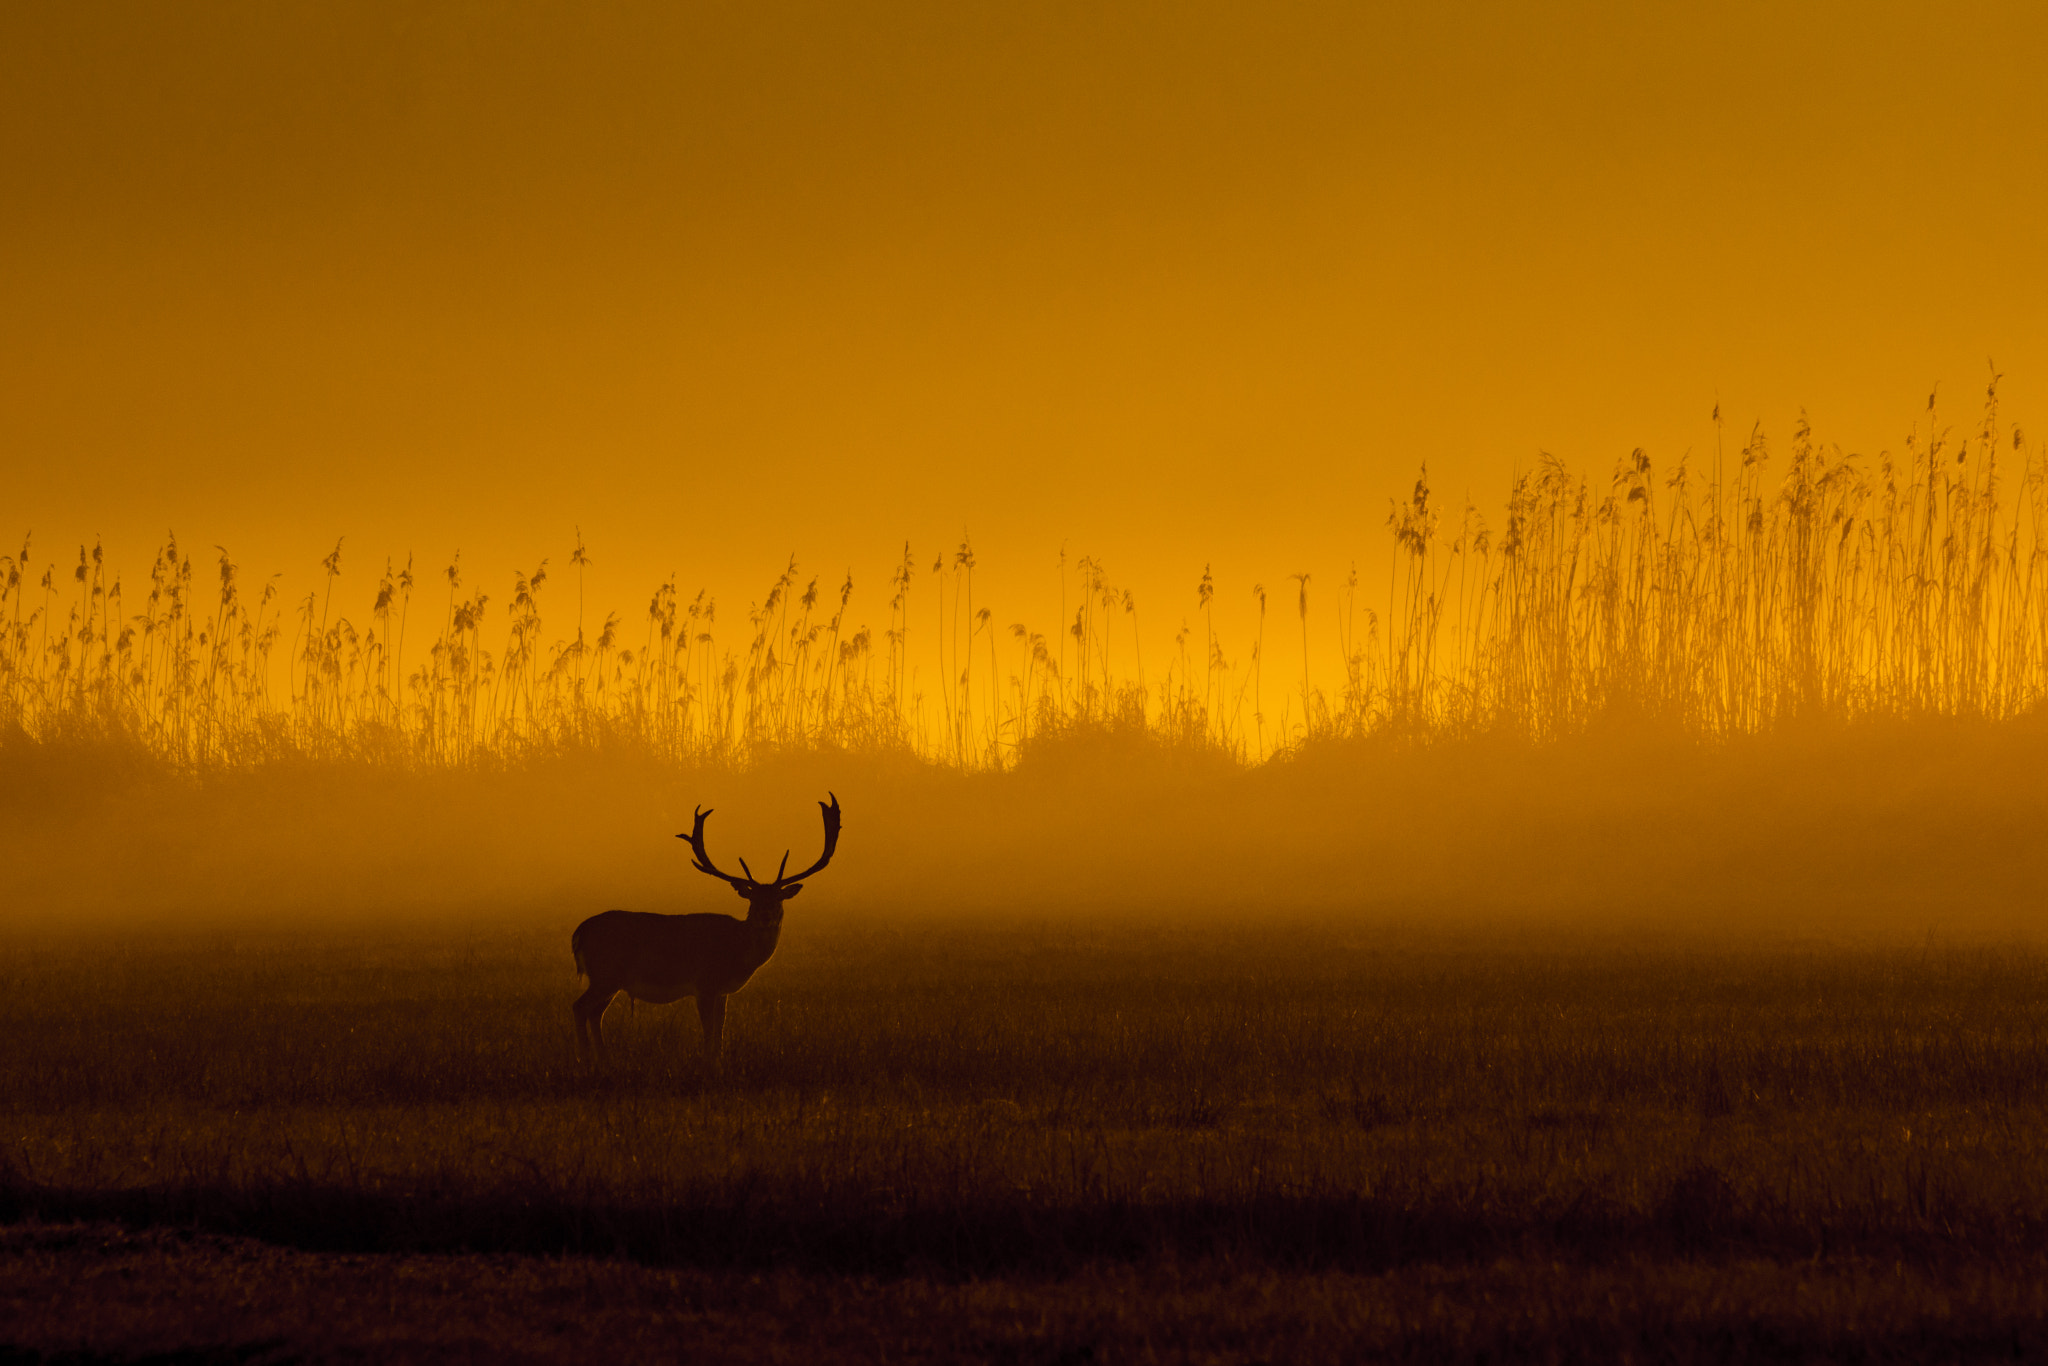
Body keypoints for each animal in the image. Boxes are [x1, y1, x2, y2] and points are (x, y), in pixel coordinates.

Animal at [569, 794, 839, 1073]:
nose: (766, 916)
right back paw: (585, 1060)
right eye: (752, 900)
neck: (737, 950)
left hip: (608, 980)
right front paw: (708, 1066)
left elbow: (719, 1031)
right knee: (579, 1007)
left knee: (594, 1013)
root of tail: (579, 932)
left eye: (778, 900)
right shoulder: (705, 983)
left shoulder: (722, 992)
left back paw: (603, 1061)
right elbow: (708, 1032)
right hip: (605, 974)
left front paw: (718, 1064)